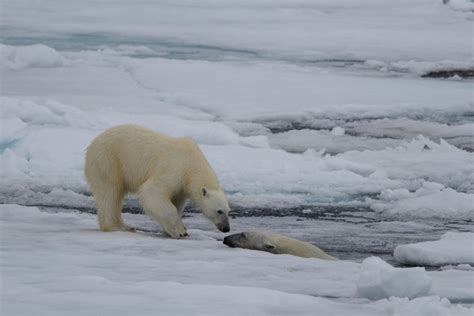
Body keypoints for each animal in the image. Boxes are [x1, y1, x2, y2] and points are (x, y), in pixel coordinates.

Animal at [84, 124, 231, 238]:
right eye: (219, 211)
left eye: (228, 211)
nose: (226, 228)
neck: (191, 165)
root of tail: (91, 145)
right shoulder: (174, 169)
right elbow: (152, 191)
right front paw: (180, 231)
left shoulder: (181, 186)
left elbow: (176, 201)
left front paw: (169, 230)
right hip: (109, 161)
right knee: (110, 193)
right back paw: (118, 226)